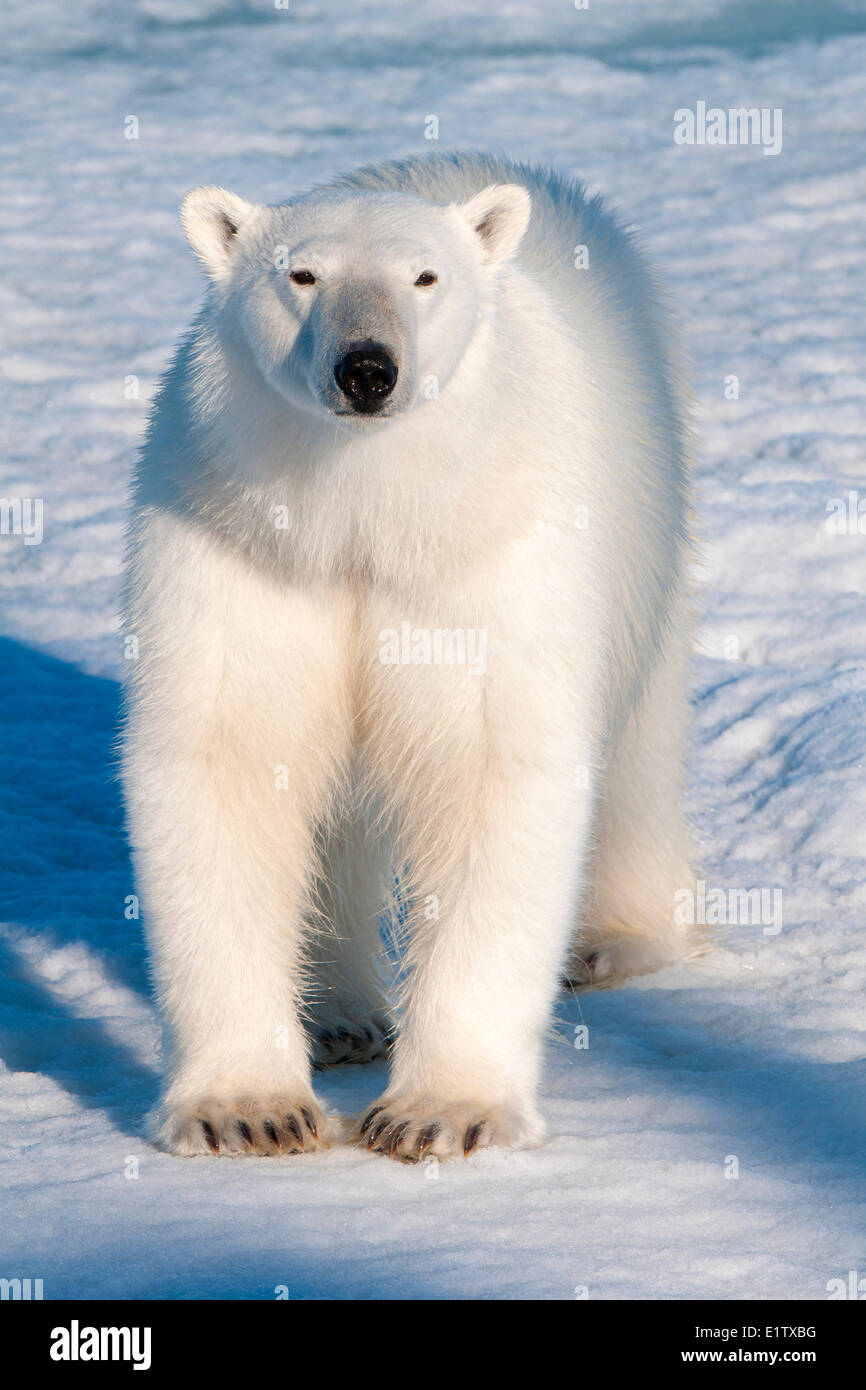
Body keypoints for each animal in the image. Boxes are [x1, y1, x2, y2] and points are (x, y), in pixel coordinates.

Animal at [122, 152, 697, 1162]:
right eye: (300, 273)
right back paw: (342, 1016)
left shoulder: (486, 557)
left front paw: (441, 1112)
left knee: (635, 751)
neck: (362, 515)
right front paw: (247, 1109)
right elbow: (228, 757)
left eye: (425, 277)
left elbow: (490, 767)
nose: (366, 370)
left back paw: (616, 940)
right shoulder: (243, 543)